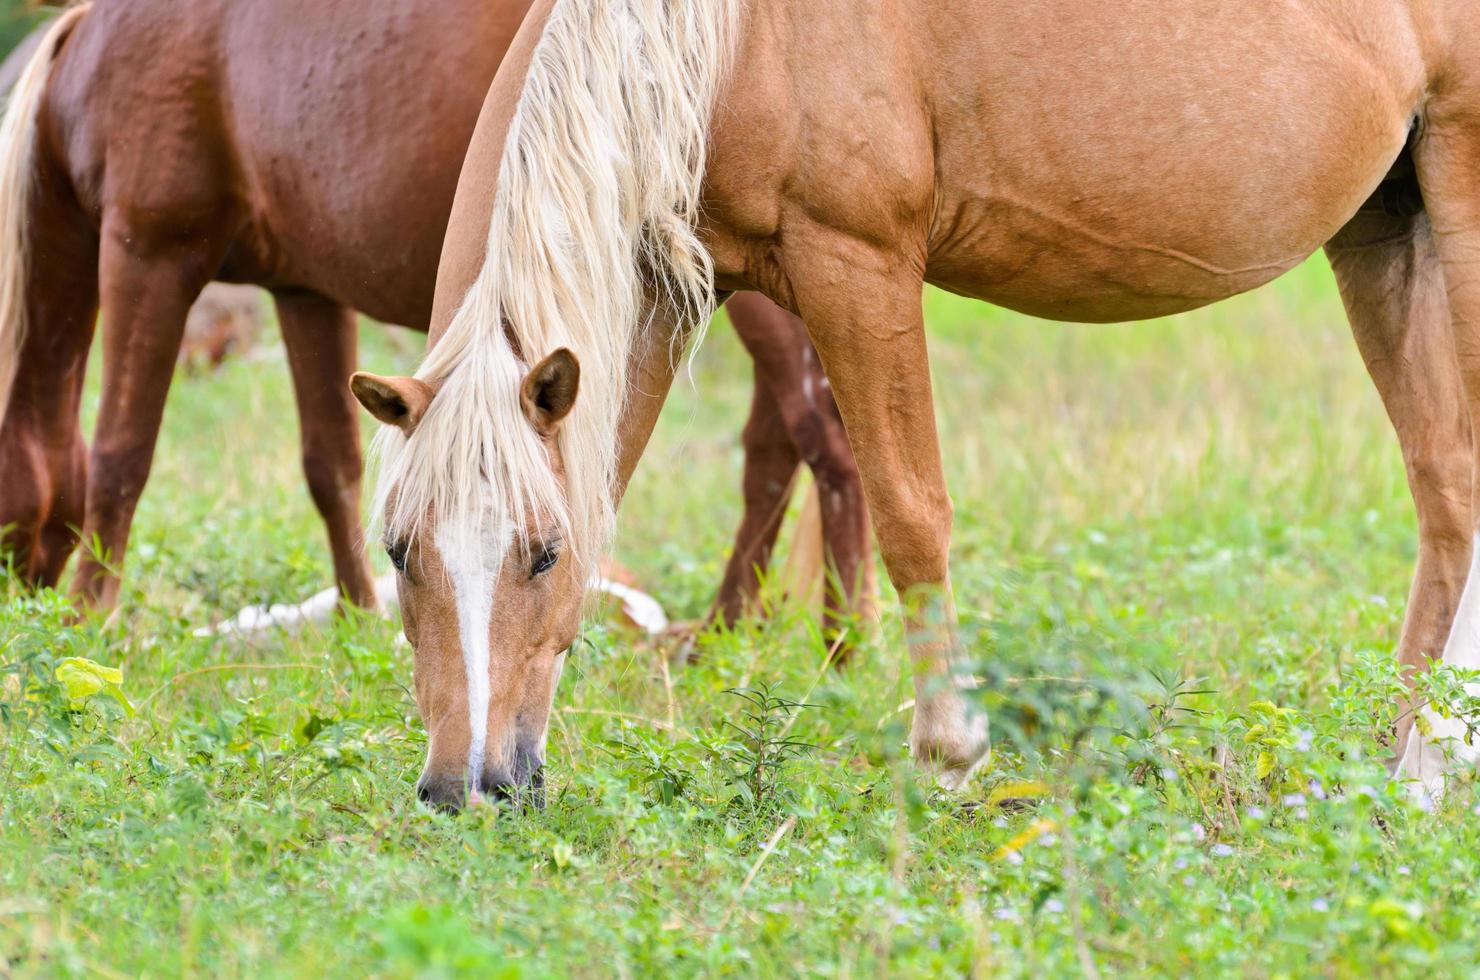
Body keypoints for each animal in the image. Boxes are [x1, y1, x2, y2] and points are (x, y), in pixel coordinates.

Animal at [0, 0, 864, 636]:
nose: (23, 605)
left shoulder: (148, 253)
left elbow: (120, 455)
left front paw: (87, 623)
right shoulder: (305, 294)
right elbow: (333, 466)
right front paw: (358, 620)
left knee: (825, 446)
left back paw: (841, 649)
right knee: (777, 453)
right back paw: (725, 632)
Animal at [349, 0, 1480, 811]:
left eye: (539, 555)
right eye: (400, 552)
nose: (467, 787)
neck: (741, 33)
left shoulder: (859, 266)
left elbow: (908, 512)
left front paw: (948, 752)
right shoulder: (664, 289)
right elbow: (606, 479)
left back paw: (1436, 754)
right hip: (1385, 226)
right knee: (1446, 490)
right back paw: (1405, 758)